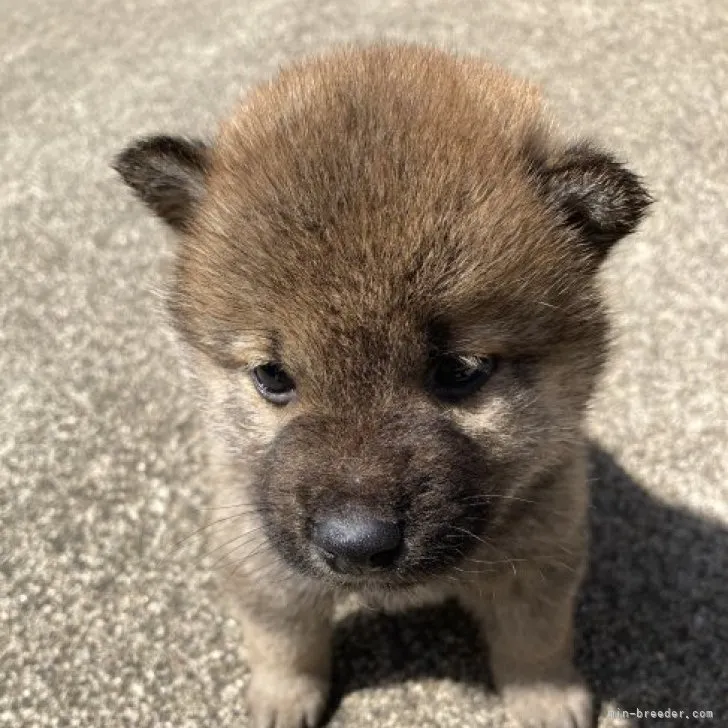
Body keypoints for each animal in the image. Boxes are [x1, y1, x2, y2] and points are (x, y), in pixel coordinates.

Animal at [116, 42, 652, 724]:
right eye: (273, 376)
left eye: (460, 373)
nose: (356, 544)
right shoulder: (258, 557)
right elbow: (282, 640)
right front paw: (282, 697)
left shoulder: (542, 550)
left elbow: (536, 641)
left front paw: (546, 699)